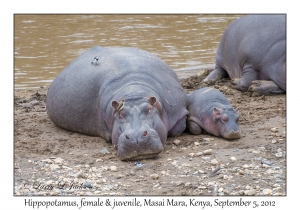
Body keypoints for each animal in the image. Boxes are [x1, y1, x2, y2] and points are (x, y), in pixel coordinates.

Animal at [46, 46, 188, 161]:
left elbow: (177, 129)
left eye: (149, 109)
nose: (135, 137)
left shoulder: (179, 112)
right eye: (120, 113)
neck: (133, 91)